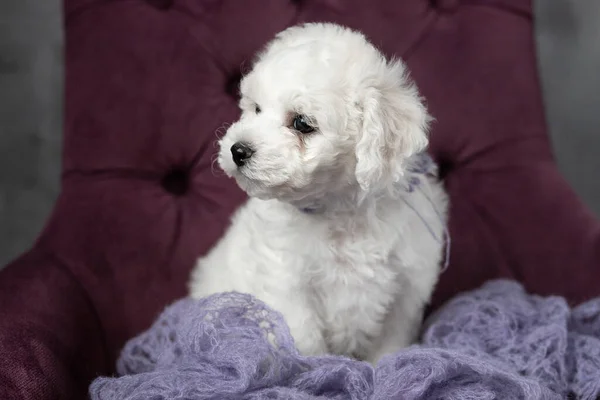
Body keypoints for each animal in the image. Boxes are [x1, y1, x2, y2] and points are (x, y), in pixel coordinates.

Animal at [190, 23, 448, 364]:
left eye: (301, 123)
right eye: (256, 109)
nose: (238, 150)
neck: (340, 209)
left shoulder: (407, 286)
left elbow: (391, 341)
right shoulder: (287, 284)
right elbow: (304, 338)